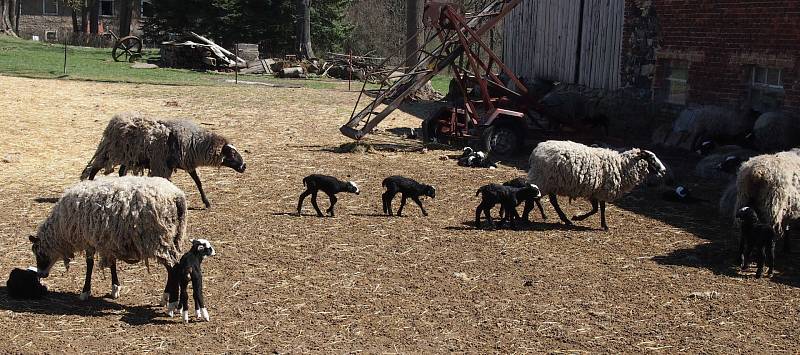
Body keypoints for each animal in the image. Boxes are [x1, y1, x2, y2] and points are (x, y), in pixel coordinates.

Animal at [28, 177, 188, 302]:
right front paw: (115, 288)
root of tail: (177, 196)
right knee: (176, 265)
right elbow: (112, 263)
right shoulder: (109, 240)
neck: (62, 228)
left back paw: (166, 298)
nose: (41, 274)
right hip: (174, 236)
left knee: (172, 267)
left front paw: (85, 292)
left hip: (158, 238)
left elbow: (90, 264)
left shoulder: (89, 239)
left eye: (39, 253)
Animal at [81, 112, 245, 209]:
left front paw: (206, 202)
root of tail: (115, 121)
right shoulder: (163, 165)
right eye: (232, 153)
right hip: (111, 152)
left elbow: (198, 182)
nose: (244, 166)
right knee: (94, 168)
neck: (194, 145)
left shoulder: (186, 164)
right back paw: (89, 185)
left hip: (128, 156)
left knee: (121, 172)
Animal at [524, 140, 668, 232]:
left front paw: (603, 225)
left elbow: (599, 209)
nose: (664, 171)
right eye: (652, 159)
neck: (622, 165)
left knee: (550, 200)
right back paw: (527, 218)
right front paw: (579, 218)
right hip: (543, 179)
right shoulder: (601, 190)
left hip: (550, 182)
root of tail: (536, 151)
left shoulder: (598, 191)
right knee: (533, 198)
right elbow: (597, 209)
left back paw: (563, 219)